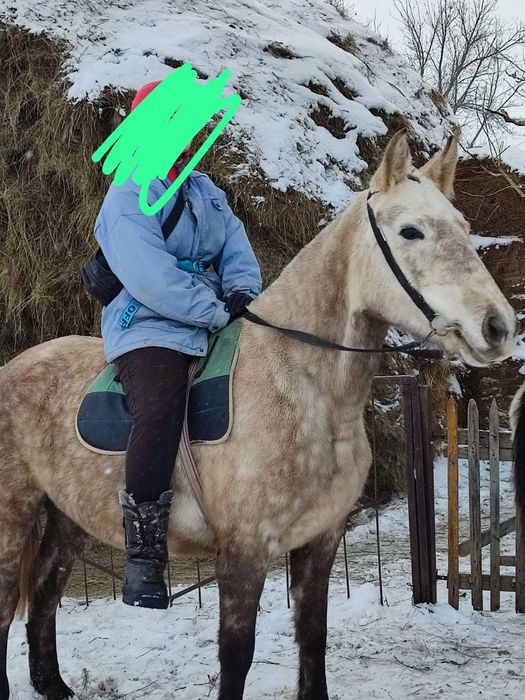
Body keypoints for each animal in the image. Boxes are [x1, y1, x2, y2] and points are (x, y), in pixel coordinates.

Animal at [0, 130, 518, 700]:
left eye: (464, 228)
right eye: (411, 231)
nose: (498, 327)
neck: (299, 387)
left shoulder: (321, 539)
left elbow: (312, 637)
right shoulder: (244, 551)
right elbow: (236, 654)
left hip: (67, 516)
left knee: (44, 593)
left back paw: (53, 684)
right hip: (13, 516)